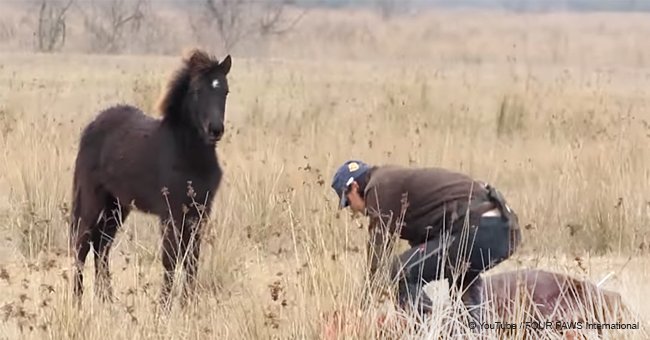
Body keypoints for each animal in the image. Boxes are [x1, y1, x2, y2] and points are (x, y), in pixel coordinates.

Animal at [67, 48, 230, 310]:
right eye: (197, 91)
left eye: (225, 90)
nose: (215, 130)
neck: (188, 154)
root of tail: (92, 126)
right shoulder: (170, 214)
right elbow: (170, 259)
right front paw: (163, 308)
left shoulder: (199, 212)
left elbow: (192, 259)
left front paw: (188, 305)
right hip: (94, 201)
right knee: (81, 244)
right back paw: (77, 301)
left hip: (117, 206)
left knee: (102, 247)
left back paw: (107, 301)